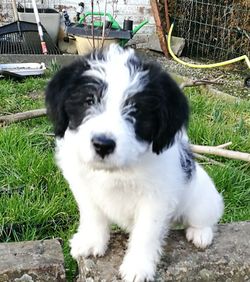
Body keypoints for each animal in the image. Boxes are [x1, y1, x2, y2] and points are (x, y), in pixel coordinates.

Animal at [46, 44, 224, 282]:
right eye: (89, 101)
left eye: (136, 110)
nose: (103, 144)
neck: (116, 171)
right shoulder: (84, 187)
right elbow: (93, 215)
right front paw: (91, 241)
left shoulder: (156, 199)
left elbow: (146, 233)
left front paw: (138, 266)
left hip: (202, 200)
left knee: (206, 216)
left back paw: (201, 233)